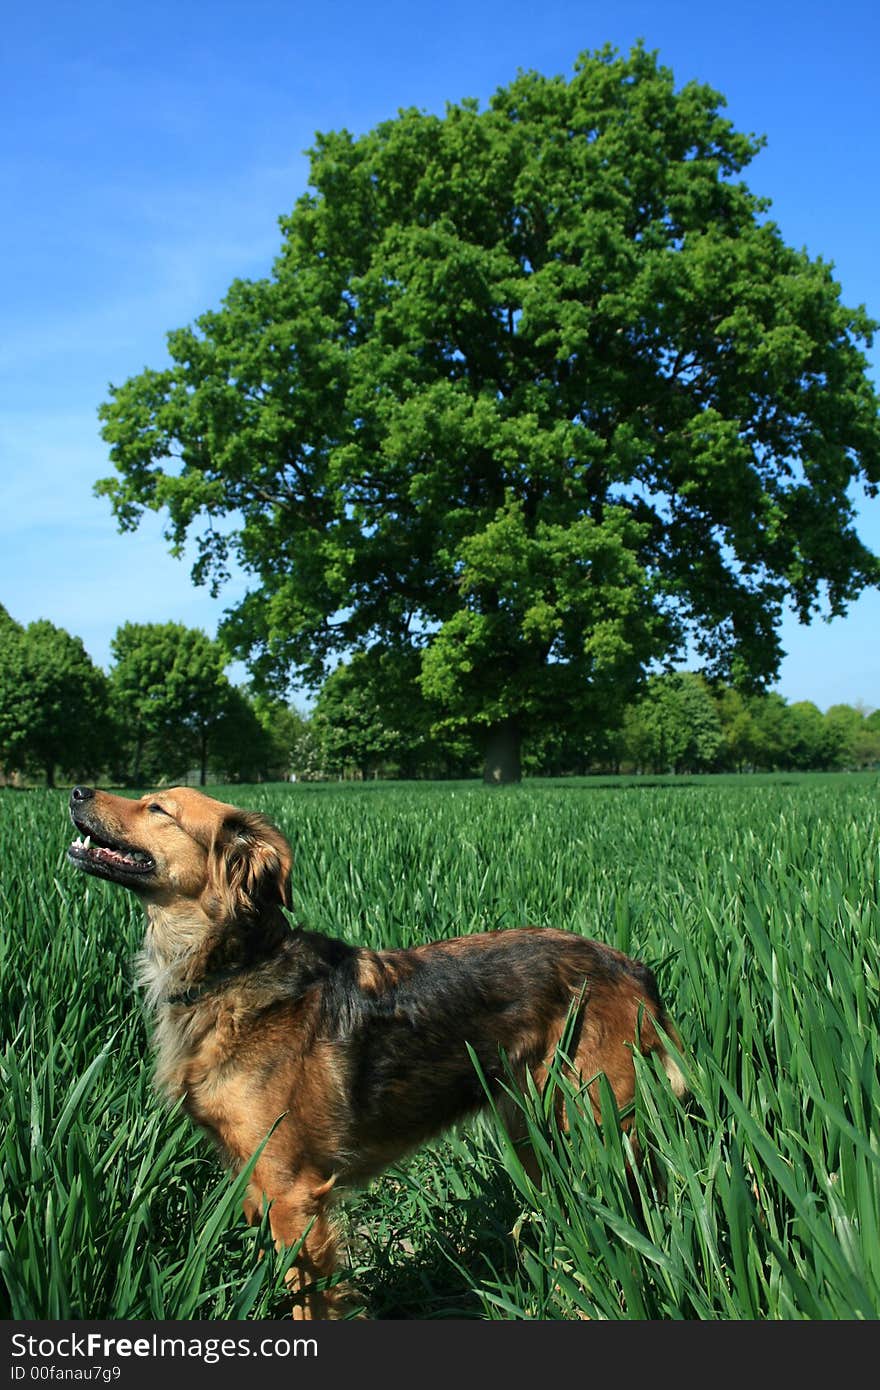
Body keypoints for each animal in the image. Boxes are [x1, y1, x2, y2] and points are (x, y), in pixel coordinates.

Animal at [68, 783, 686, 1312]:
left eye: (158, 809)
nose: (75, 790)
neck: (234, 967)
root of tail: (628, 966)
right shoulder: (252, 1179)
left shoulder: (292, 1191)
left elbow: (309, 1300)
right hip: (536, 1128)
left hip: (598, 1124)